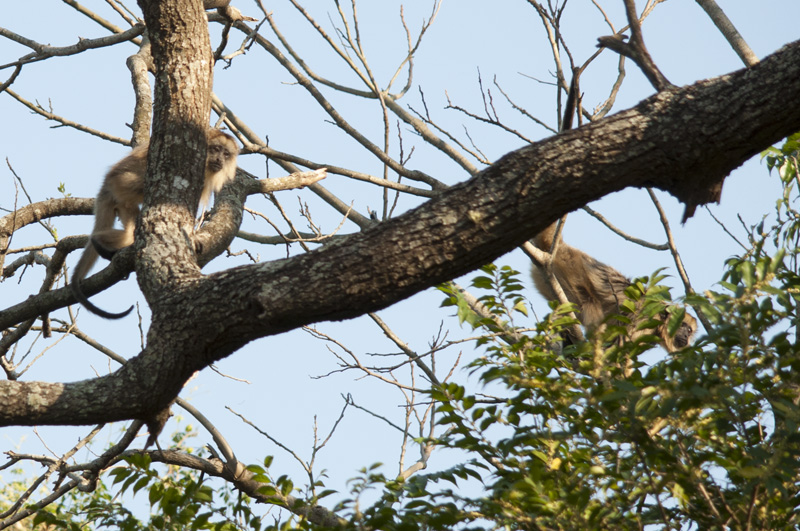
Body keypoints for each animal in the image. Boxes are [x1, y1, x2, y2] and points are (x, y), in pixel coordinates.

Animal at [70, 128, 239, 320]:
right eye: (216, 149)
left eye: (226, 154)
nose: (220, 160)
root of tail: (106, 183)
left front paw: (193, 237)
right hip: (119, 183)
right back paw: (97, 240)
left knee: (129, 233)